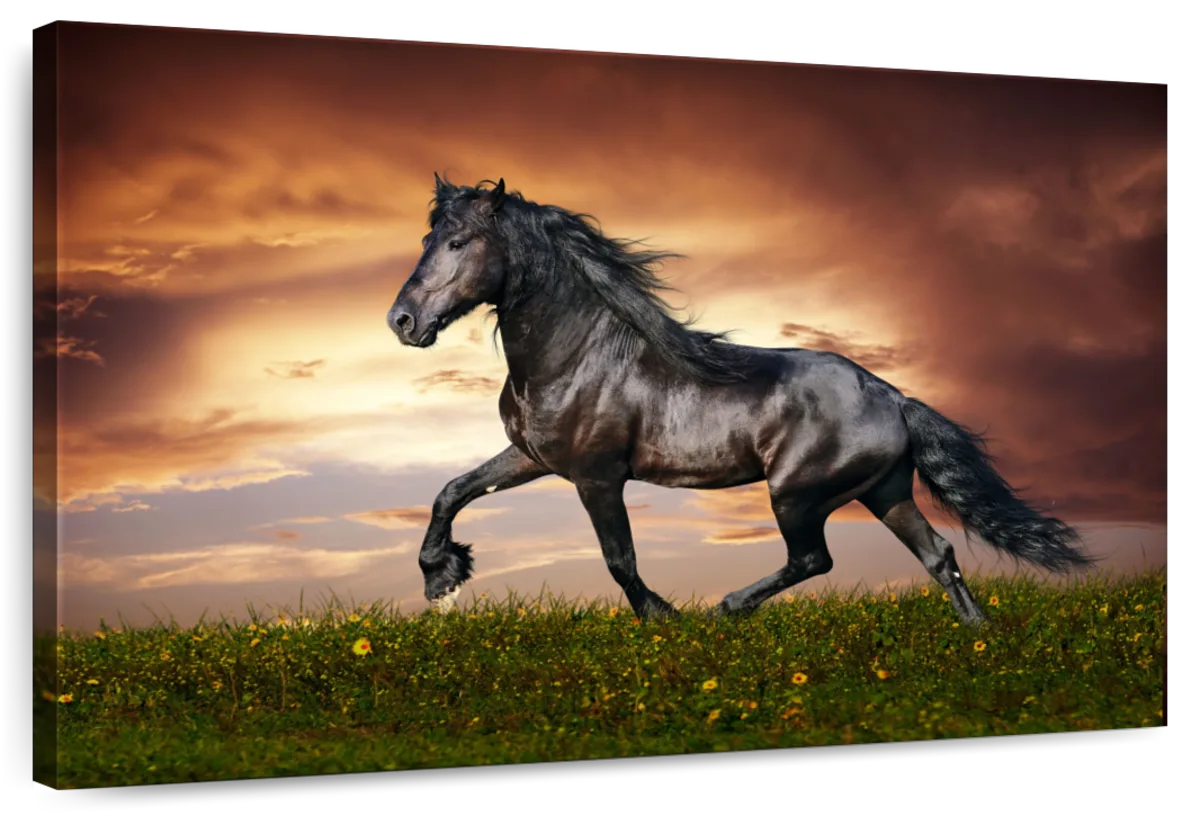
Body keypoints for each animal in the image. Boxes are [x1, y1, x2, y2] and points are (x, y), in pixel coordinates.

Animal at [386, 175, 1093, 625]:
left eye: (458, 243)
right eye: (426, 240)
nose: (402, 321)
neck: (578, 356)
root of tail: (893, 396)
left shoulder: (596, 476)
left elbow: (619, 559)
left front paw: (665, 618)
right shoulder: (531, 457)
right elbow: (452, 490)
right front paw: (442, 576)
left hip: (797, 494)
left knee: (814, 558)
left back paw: (726, 608)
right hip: (884, 491)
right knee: (938, 555)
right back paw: (977, 635)